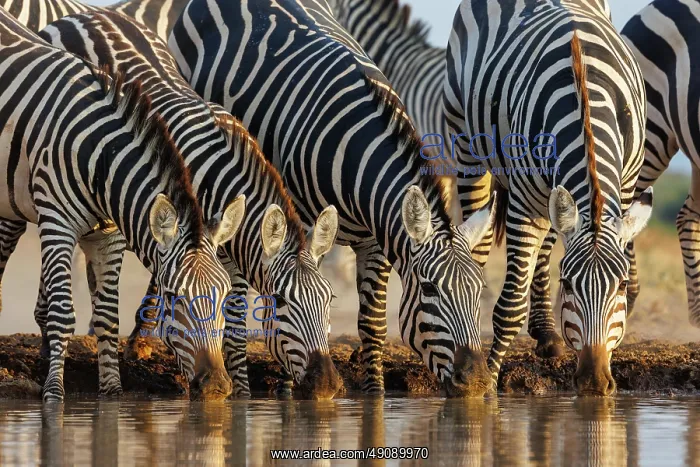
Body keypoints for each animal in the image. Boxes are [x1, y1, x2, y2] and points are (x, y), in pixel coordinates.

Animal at [0, 6, 243, 400]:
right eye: (173, 297)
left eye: (223, 297)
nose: (218, 387)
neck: (100, 158)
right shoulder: (57, 222)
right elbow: (63, 313)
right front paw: (53, 394)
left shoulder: (109, 236)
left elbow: (107, 317)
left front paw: (112, 391)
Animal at [34, 9, 342, 399]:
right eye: (282, 302)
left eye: (329, 300)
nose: (328, 385)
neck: (219, 176)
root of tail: (88, 13)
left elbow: (230, 318)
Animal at [169, 0, 499, 397]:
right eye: (431, 288)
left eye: (478, 290)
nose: (478, 382)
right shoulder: (298, 226)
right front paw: (290, 391)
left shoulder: (377, 237)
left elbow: (372, 324)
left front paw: (374, 396)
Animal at [444, 0, 653, 395]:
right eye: (568, 284)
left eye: (620, 285)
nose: (594, 382)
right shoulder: (523, 203)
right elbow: (509, 307)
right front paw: (488, 384)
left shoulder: (625, 187)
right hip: (465, 143)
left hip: (553, 199)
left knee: (545, 247)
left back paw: (546, 334)